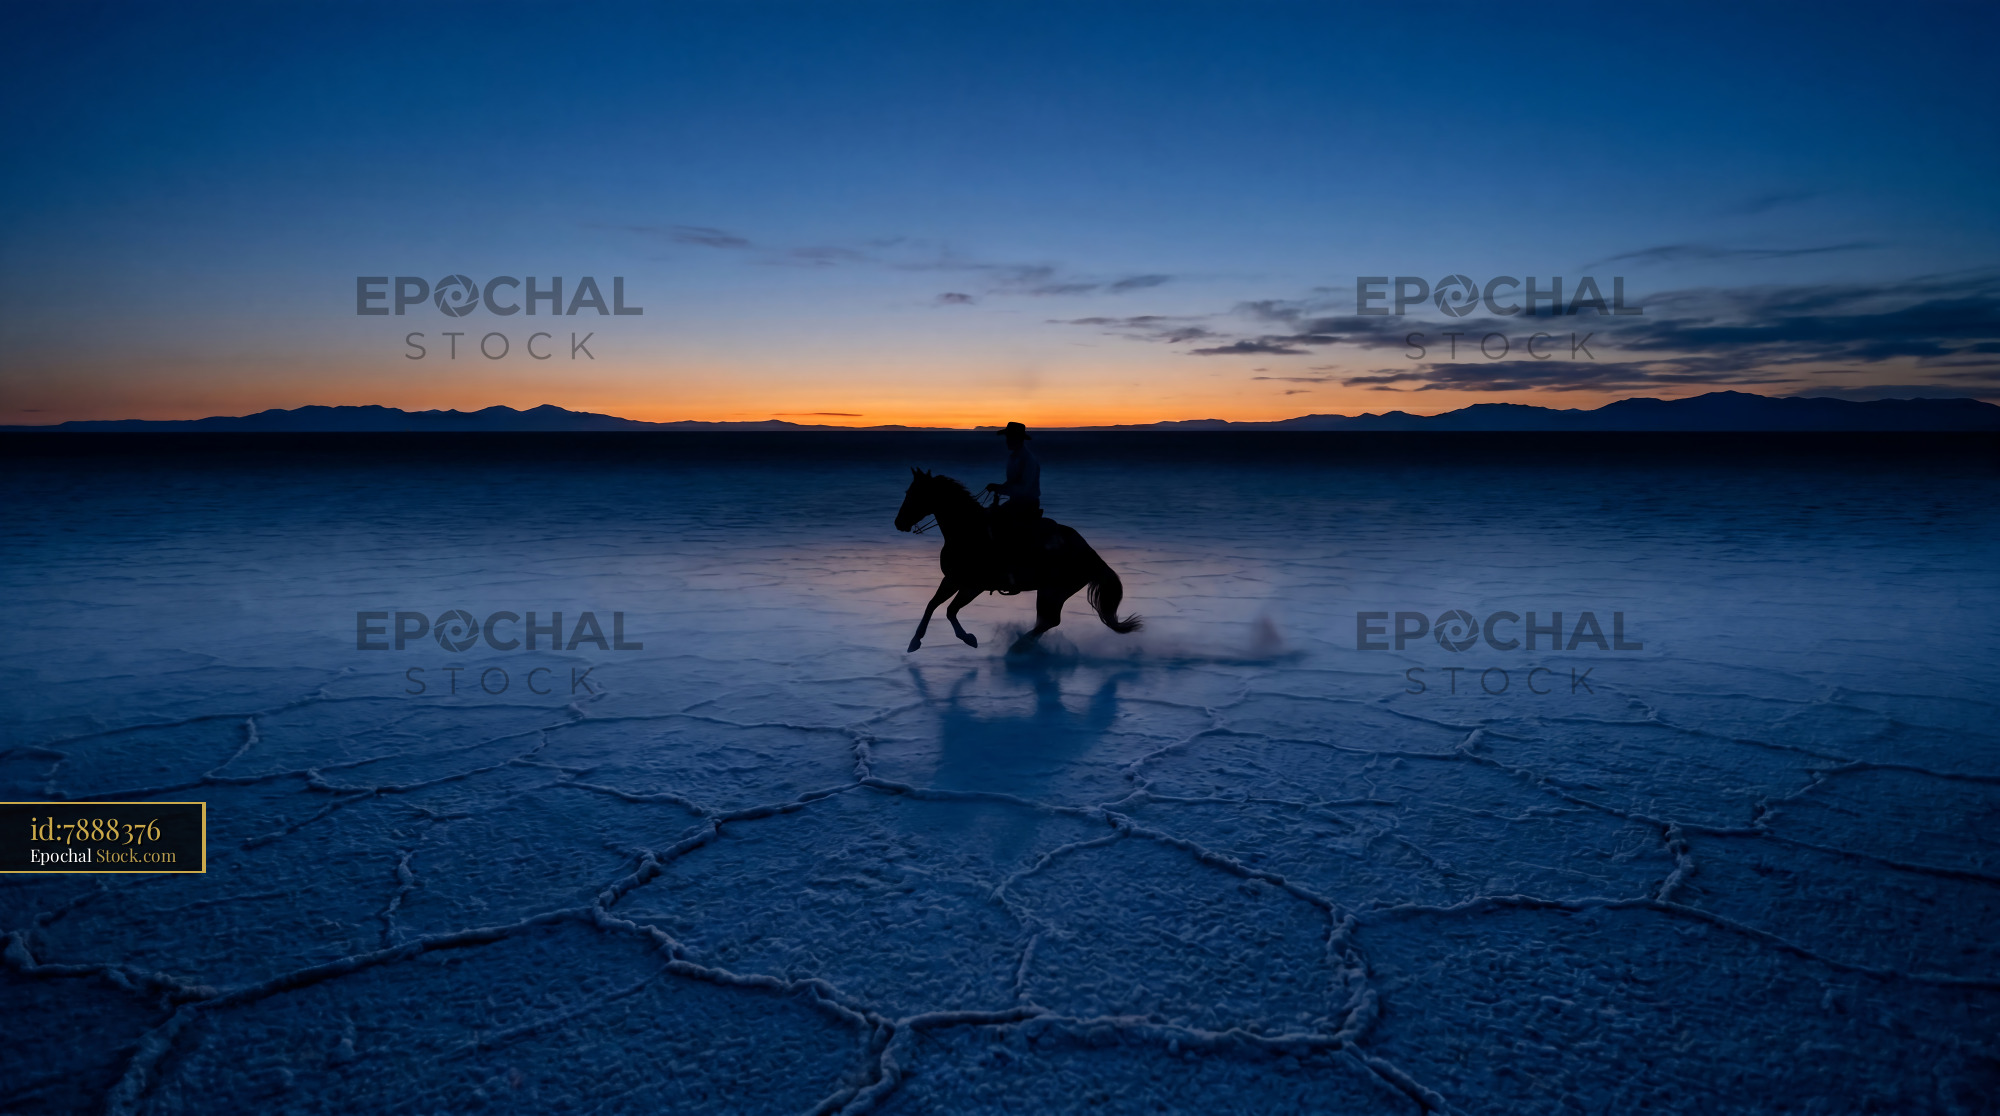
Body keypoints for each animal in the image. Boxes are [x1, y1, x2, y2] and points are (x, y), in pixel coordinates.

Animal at [894, 468, 1142, 654]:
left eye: (914, 493)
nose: (899, 522)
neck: (968, 531)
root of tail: (1090, 553)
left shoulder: (972, 585)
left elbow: (949, 610)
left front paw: (968, 638)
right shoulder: (954, 580)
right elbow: (934, 605)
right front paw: (915, 641)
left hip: (1052, 591)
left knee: (1048, 620)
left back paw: (1018, 647)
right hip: (1052, 592)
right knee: (1047, 621)